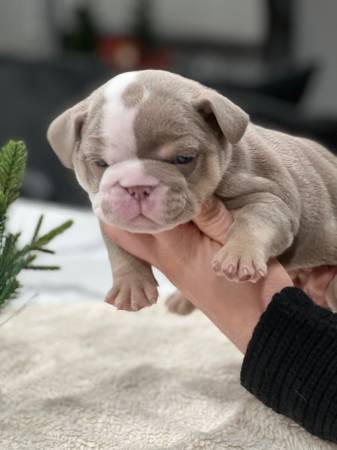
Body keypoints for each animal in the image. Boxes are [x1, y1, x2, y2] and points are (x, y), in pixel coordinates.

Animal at [47, 69, 337, 312]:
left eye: (183, 159)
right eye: (100, 163)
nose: (136, 186)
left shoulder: (270, 198)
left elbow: (255, 223)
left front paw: (239, 255)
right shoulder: (111, 218)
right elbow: (120, 251)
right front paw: (131, 286)